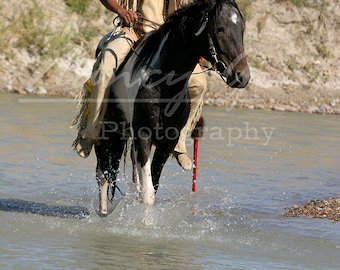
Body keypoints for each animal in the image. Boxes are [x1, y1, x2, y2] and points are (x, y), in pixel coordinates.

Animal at [95, 0, 250, 215]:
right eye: (220, 28)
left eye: (242, 28)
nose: (242, 77)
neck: (163, 82)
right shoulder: (143, 135)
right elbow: (148, 193)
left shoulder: (167, 142)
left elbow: (152, 186)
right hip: (107, 130)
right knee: (103, 172)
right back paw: (102, 213)